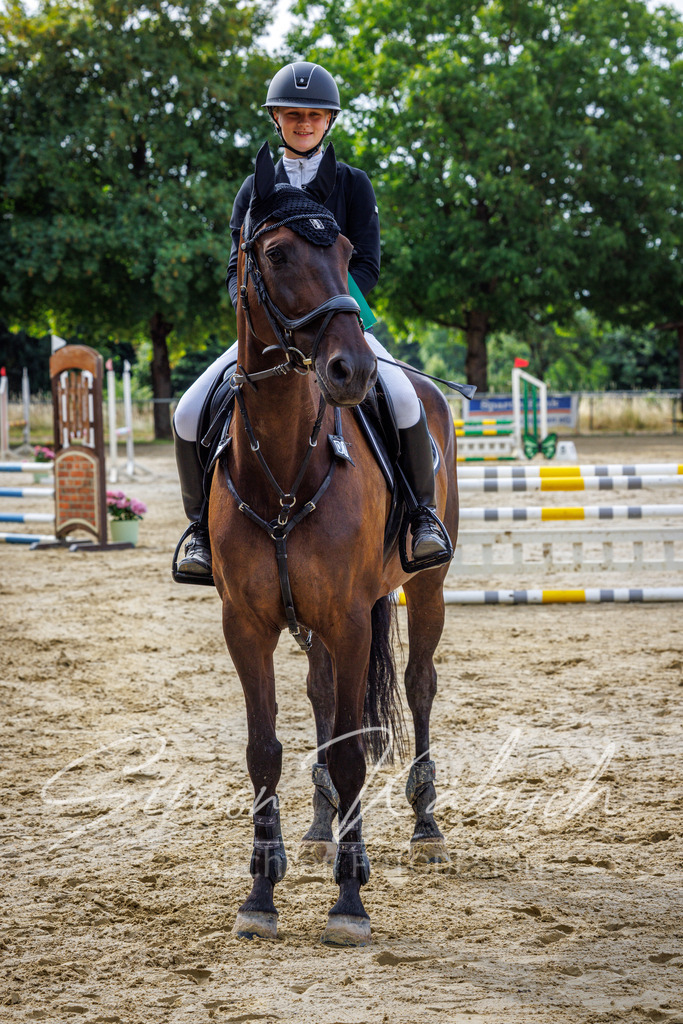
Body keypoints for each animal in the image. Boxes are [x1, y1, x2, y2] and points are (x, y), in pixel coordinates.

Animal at [209, 143, 458, 946]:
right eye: (276, 252)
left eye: (348, 253)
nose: (352, 370)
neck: (289, 468)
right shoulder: (246, 624)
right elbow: (265, 750)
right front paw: (261, 892)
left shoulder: (350, 619)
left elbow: (352, 749)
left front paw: (349, 903)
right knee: (323, 697)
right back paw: (322, 831)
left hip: (424, 586)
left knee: (417, 685)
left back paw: (424, 827)